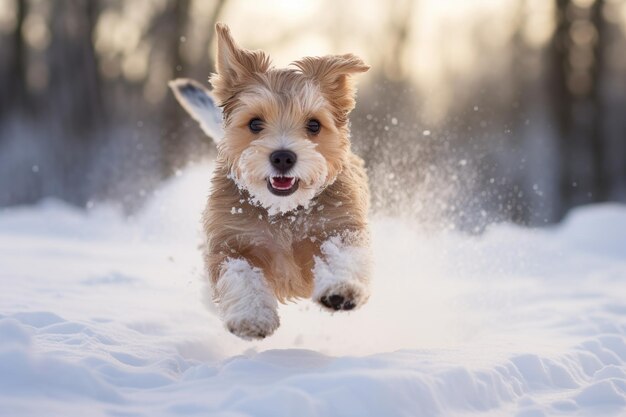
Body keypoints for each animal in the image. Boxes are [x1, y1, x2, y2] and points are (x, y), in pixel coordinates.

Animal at [169, 24, 370, 340]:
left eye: (314, 124)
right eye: (255, 123)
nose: (283, 157)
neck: (283, 213)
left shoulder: (339, 225)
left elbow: (341, 255)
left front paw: (341, 289)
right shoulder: (231, 242)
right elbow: (242, 276)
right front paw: (251, 317)